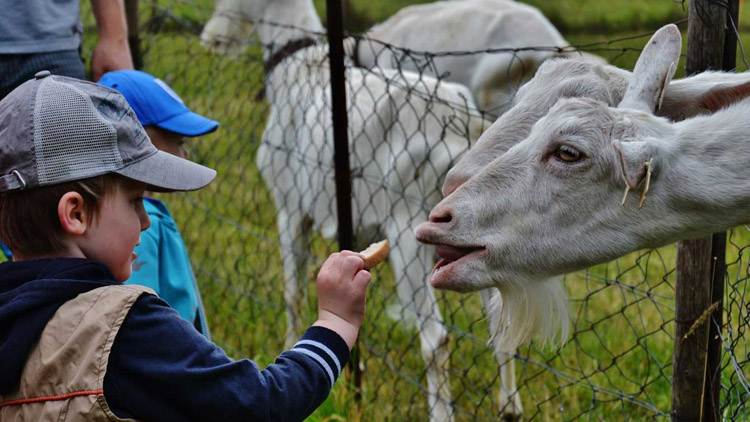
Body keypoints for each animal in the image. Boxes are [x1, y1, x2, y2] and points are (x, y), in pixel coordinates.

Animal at [200, 1, 524, 420]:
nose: (212, 39)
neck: (300, 70)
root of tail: (462, 122)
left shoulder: (290, 207)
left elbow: (292, 291)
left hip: (407, 230)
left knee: (436, 338)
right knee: (501, 324)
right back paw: (510, 408)